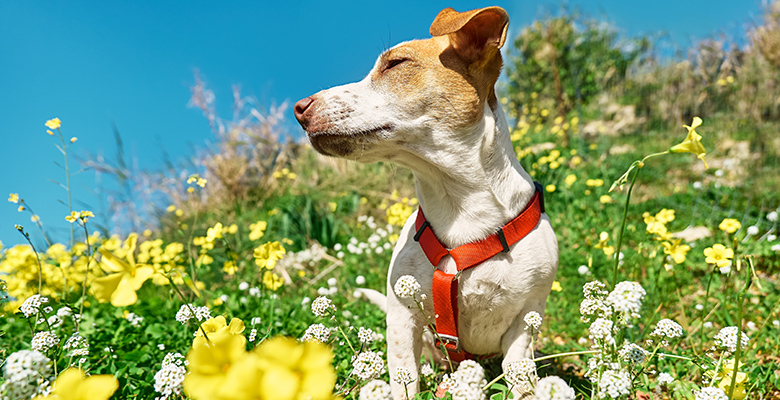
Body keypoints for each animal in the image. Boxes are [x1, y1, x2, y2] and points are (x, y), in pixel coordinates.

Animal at [290, 5, 556, 396]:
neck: (461, 205)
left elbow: (519, 376)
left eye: (396, 63)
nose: (299, 107)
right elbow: (405, 378)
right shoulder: (404, 320)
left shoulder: (525, 322)